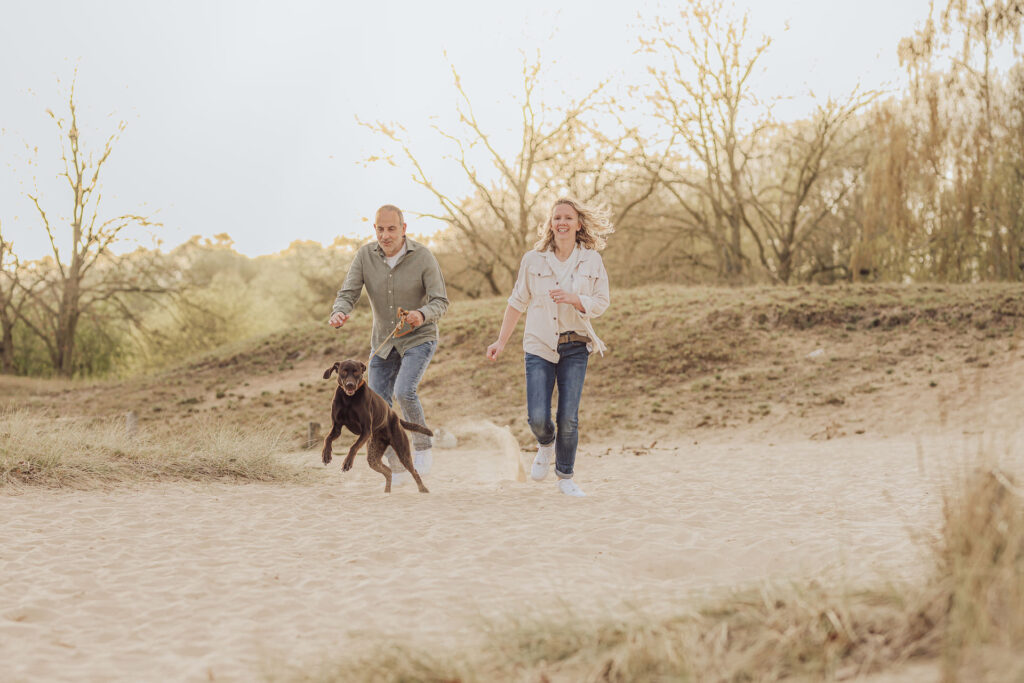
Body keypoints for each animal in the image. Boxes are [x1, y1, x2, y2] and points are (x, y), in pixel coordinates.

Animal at [321, 360, 430, 493]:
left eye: (356, 372)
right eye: (344, 371)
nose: (350, 385)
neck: (348, 399)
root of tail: (395, 416)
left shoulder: (366, 430)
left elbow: (353, 446)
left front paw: (347, 462)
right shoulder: (336, 428)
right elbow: (327, 438)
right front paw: (326, 455)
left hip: (402, 452)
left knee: (414, 471)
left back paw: (423, 489)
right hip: (373, 456)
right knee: (388, 471)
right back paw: (387, 492)